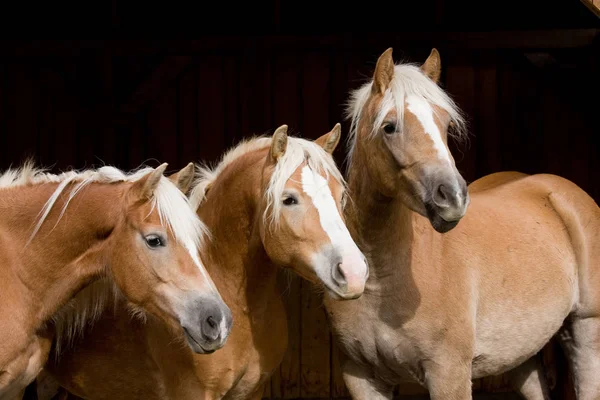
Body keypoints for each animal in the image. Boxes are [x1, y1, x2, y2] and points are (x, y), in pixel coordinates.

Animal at [326, 47, 600, 400]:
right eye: (389, 126)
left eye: (444, 123)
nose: (452, 196)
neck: (382, 277)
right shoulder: (361, 377)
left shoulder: (449, 372)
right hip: (521, 352)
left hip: (587, 327)